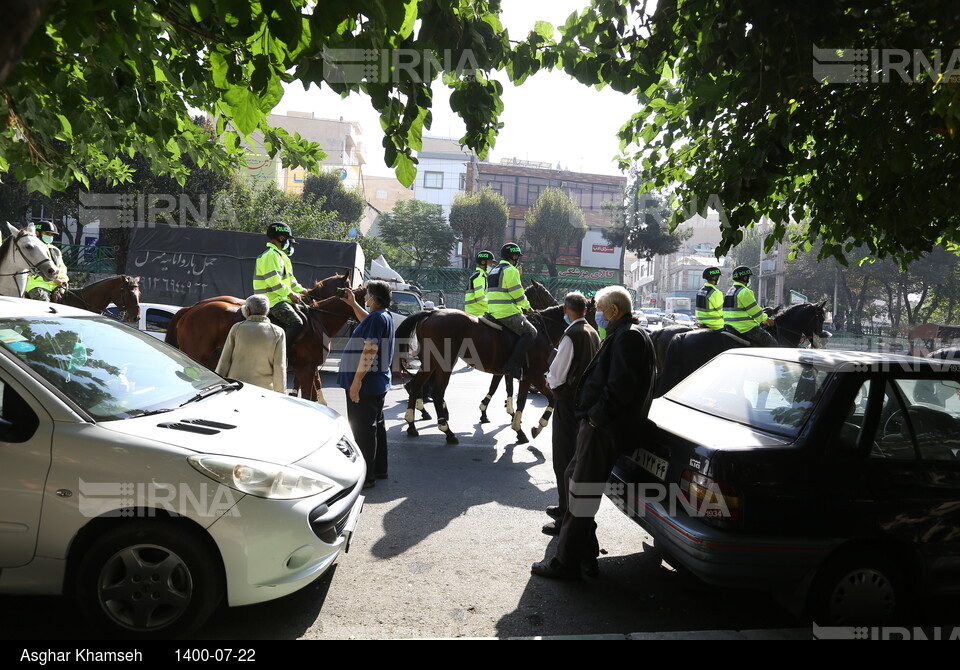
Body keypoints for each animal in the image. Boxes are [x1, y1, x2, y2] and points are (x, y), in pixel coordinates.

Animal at [396, 306, 568, 446]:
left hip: (430, 362)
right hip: (445, 363)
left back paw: (412, 425)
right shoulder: (535, 376)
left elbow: (517, 398)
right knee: (437, 393)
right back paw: (447, 431)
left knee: (416, 385)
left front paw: (516, 426)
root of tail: (432, 312)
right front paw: (535, 426)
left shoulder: (522, 376)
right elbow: (548, 398)